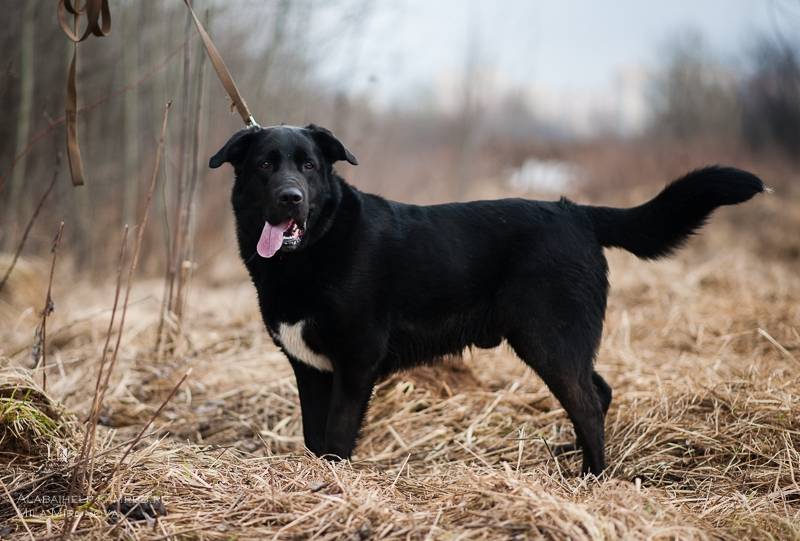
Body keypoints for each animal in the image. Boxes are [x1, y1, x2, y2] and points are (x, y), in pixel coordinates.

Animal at [209, 125, 764, 472]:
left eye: (308, 166)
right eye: (266, 164)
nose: (291, 198)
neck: (313, 249)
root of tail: (576, 212)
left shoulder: (355, 363)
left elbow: (338, 438)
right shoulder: (309, 369)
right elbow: (313, 436)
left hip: (549, 340)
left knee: (587, 402)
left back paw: (592, 480)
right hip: (561, 341)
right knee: (599, 391)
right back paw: (574, 464)